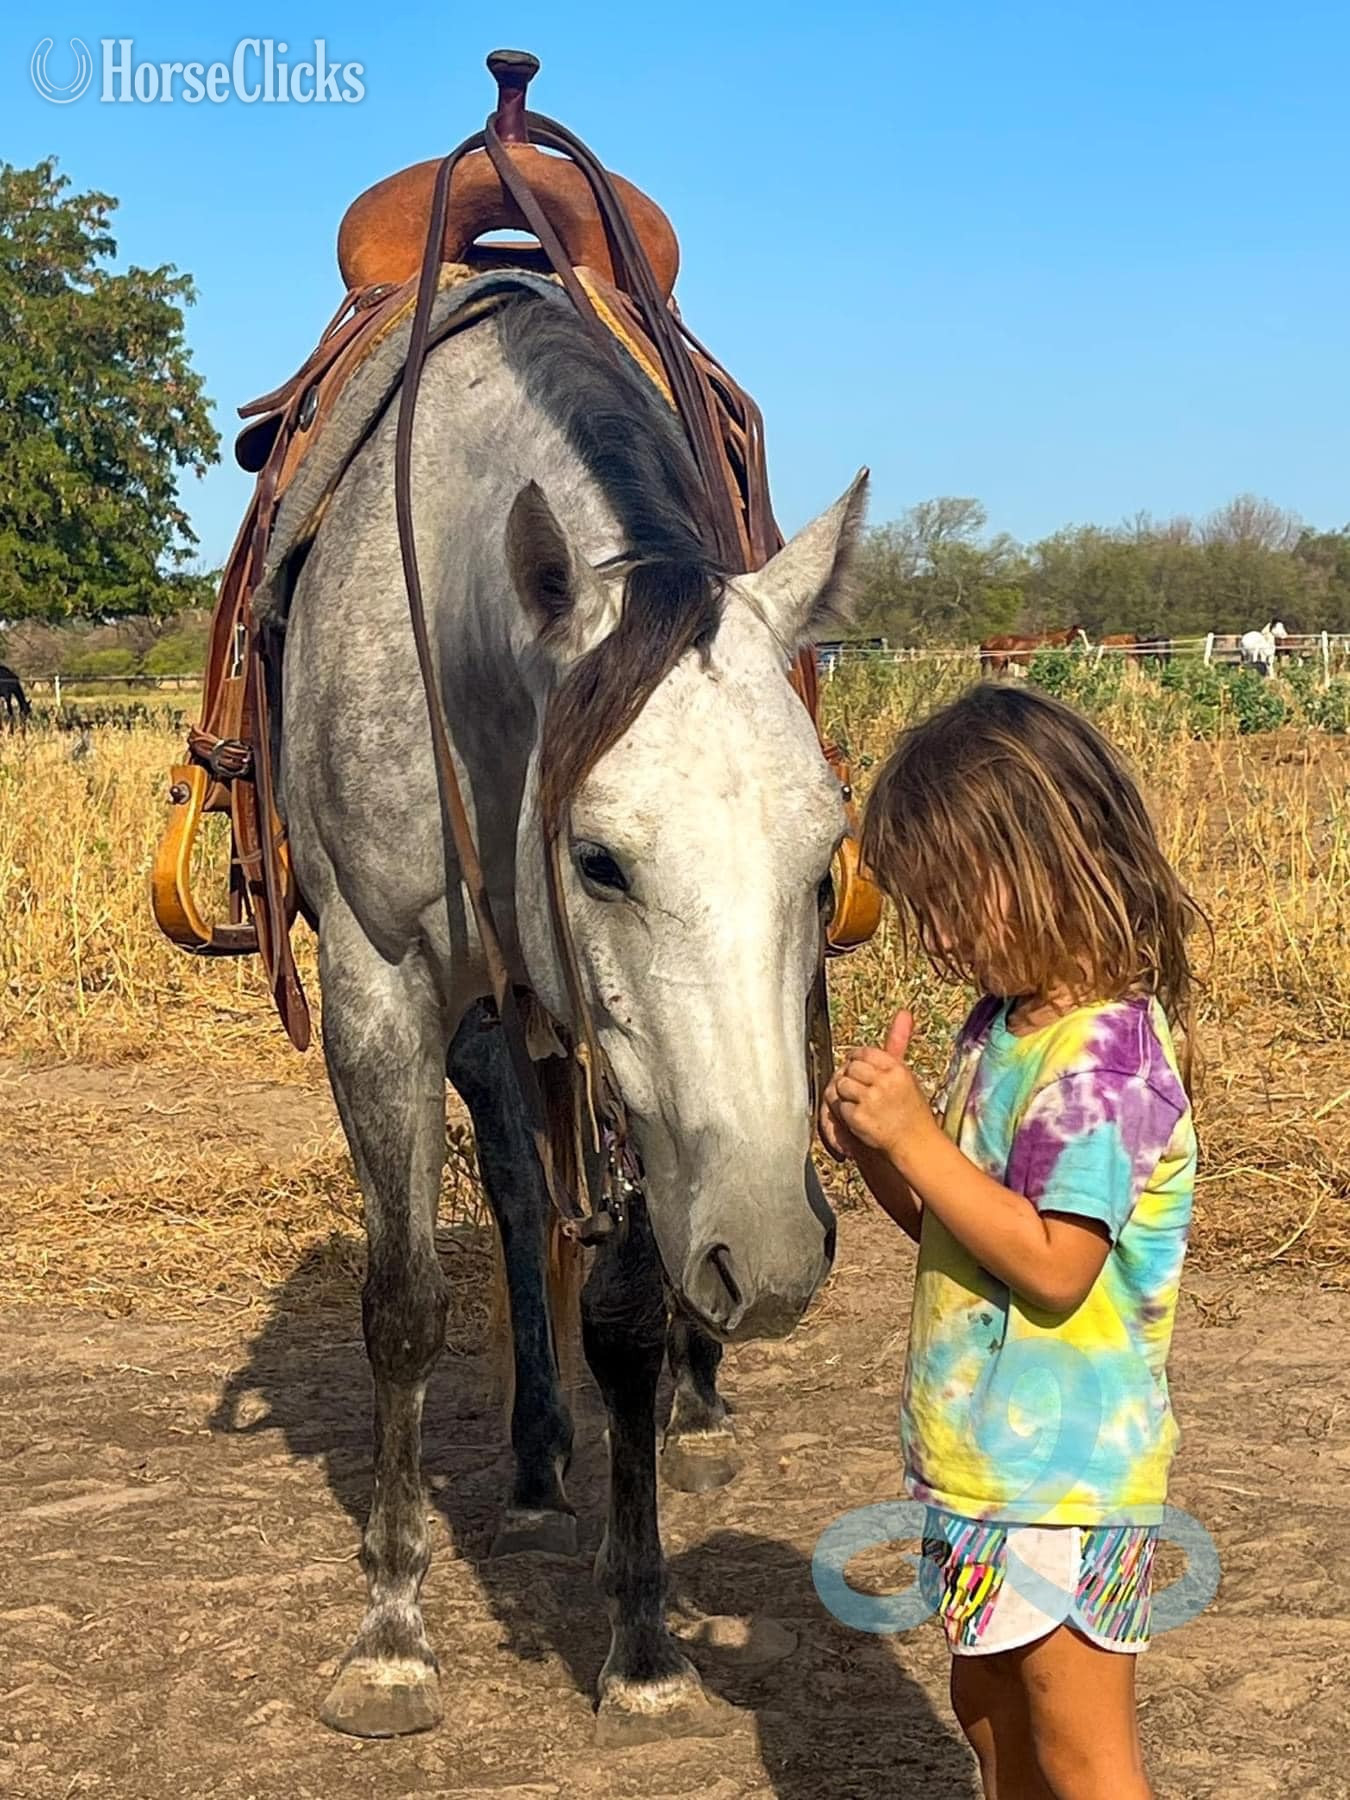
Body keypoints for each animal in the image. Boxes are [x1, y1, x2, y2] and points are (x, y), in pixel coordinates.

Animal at [265, 284, 866, 1744]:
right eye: (598, 860)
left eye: (825, 861)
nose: (774, 1260)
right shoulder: (379, 985)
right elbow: (406, 1303)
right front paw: (391, 1629)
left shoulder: (638, 1081)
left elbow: (633, 1315)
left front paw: (643, 1633)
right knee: (522, 1206)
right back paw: (539, 1465)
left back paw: (681, 1424)